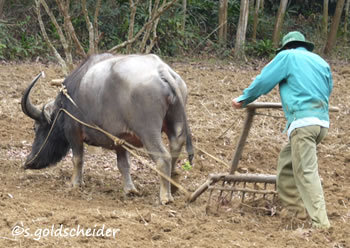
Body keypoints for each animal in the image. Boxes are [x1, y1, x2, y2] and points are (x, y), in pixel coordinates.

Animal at [21, 53, 194, 204]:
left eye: (36, 127)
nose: (28, 162)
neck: (66, 104)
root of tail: (161, 70)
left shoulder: (73, 131)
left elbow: (77, 159)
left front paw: (74, 183)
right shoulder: (120, 139)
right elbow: (123, 165)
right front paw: (129, 189)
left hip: (148, 132)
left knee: (163, 157)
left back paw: (165, 197)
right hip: (175, 123)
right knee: (175, 148)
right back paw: (173, 185)